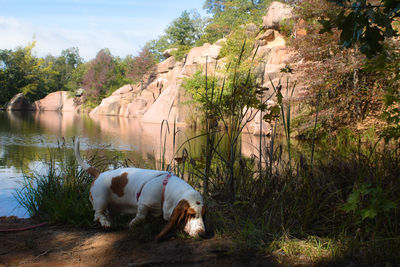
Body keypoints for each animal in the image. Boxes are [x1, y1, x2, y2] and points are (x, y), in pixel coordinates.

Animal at [74, 138, 206, 241]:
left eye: (203, 214)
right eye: (191, 214)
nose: (202, 234)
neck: (165, 188)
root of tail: (99, 174)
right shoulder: (143, 203)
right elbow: (140, 216)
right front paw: (132, 224)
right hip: (100, 201)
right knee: (98, 215)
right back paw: (106, 223)